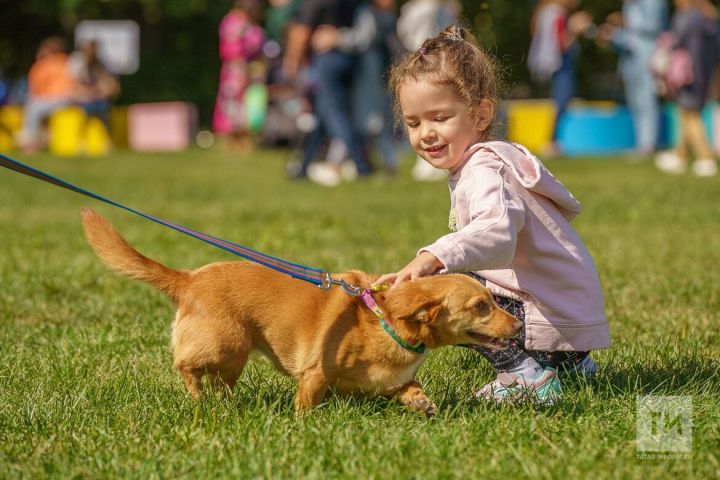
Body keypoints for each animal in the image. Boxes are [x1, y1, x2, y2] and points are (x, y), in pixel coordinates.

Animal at [81, 208, 524, 414]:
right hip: (228, 347)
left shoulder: (390, 381)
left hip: (231, 361)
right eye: (481, 306)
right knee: (185, 366)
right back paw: (200, 399)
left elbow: (409, 388)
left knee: (217, 383)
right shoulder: (316, 374)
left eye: (492, 301)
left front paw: (421, 402)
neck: (386, 322)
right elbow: (307, 401)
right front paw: (304, 423)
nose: (519, 324)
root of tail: (188, 278)